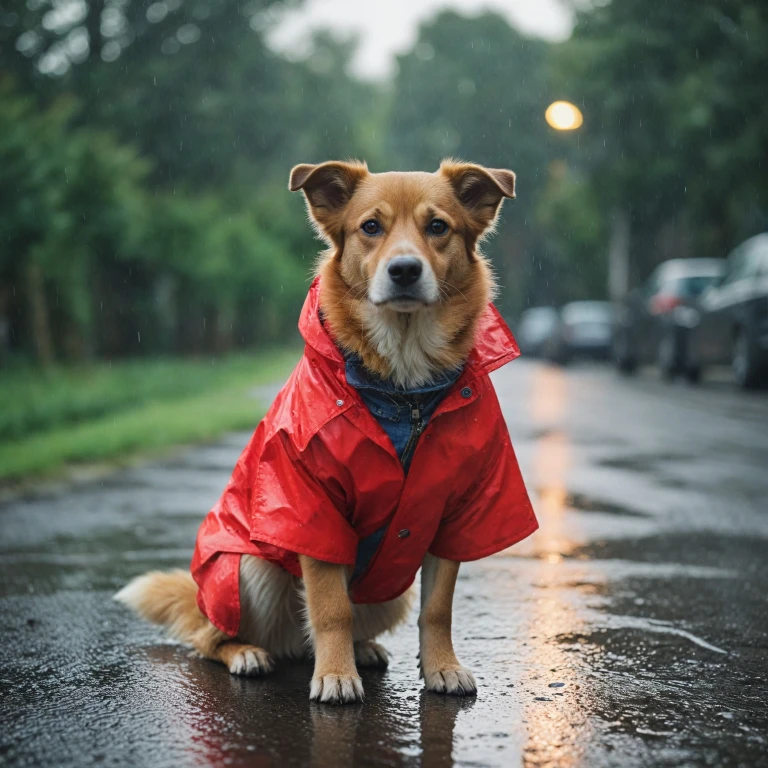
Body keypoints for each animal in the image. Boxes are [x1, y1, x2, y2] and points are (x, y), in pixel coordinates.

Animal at [117, 159, 536, 704]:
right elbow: (331, 606)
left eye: (438, 226)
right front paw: (335, 676)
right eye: (371, 227)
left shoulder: (456, 511)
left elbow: (438, 608)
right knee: (211, 638)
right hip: (246, 571)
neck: (404, 384)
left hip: (389, 594)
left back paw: (362, 649)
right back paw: (249, 653)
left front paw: (442, 667)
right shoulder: (311, 511)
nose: (405, 269)